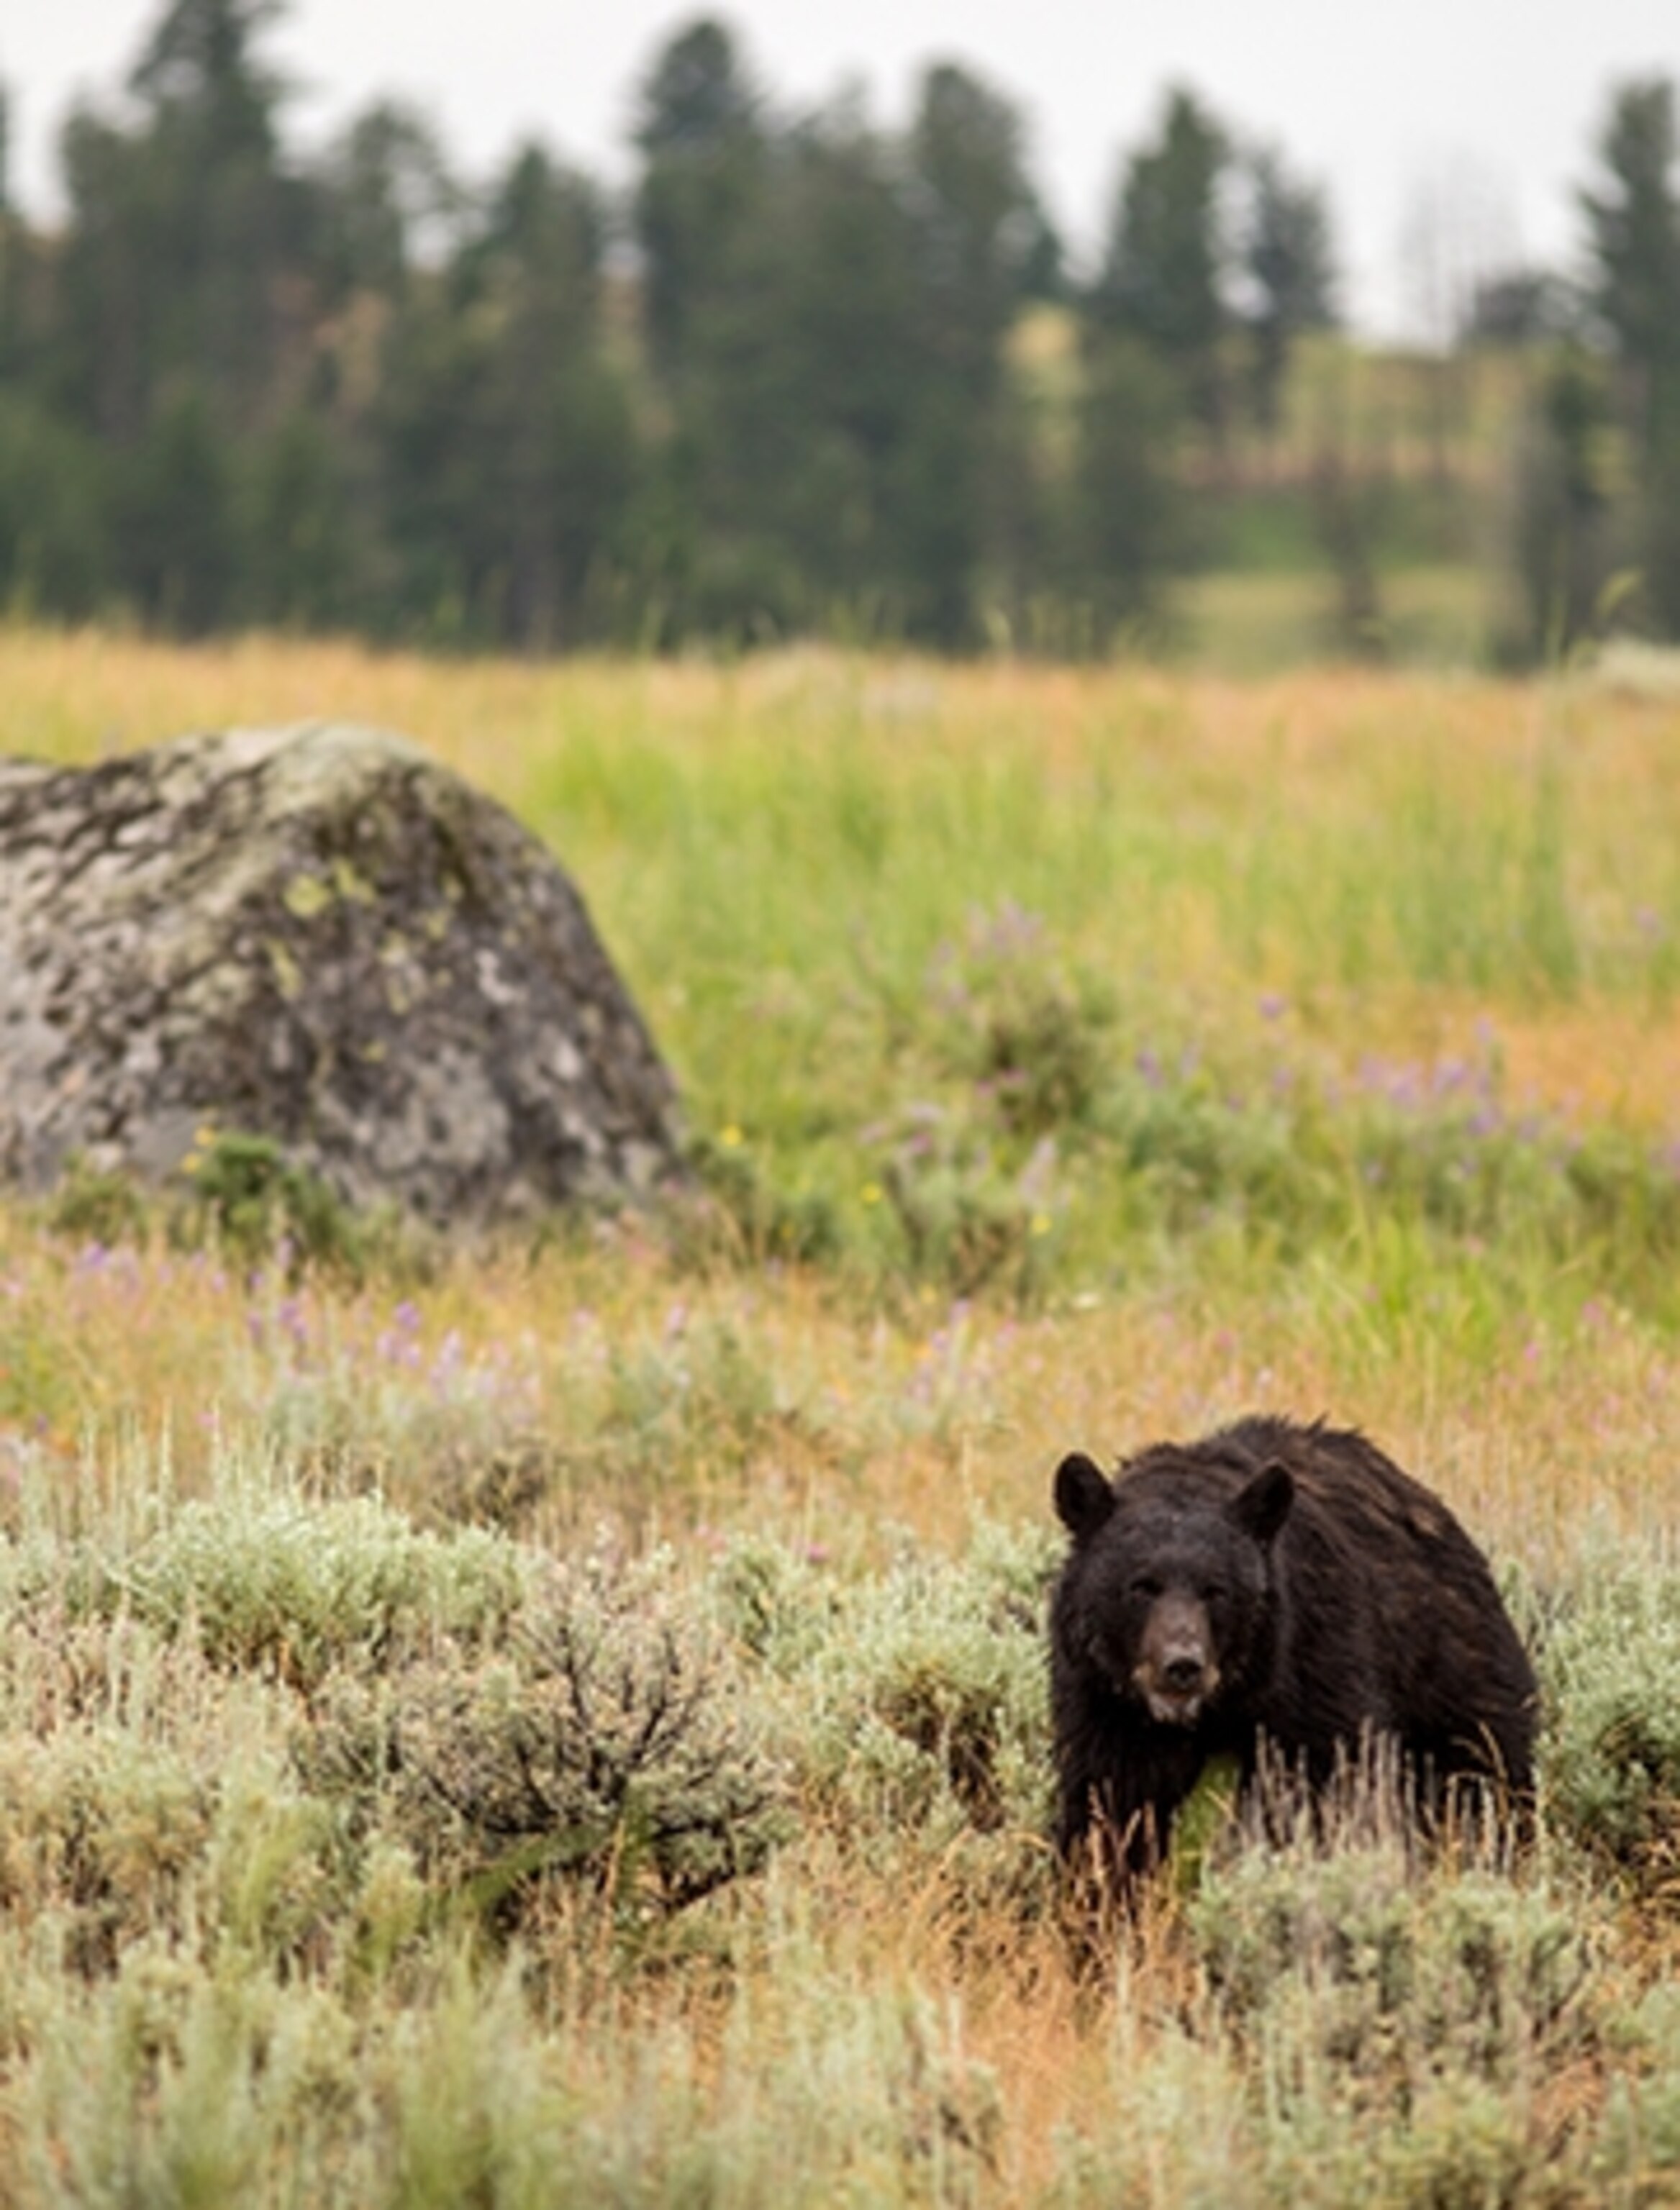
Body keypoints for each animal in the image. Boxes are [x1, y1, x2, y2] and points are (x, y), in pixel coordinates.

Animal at [1049, 1414, 1537, 1883]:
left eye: (1216, 1590)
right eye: (1141, 1586)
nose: (1182, 1666)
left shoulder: (1315, 1665)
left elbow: (1324, 1786)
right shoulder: (1106, 1705)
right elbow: (1111, 1807)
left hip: (1452, 1672)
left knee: (1488, 1770)